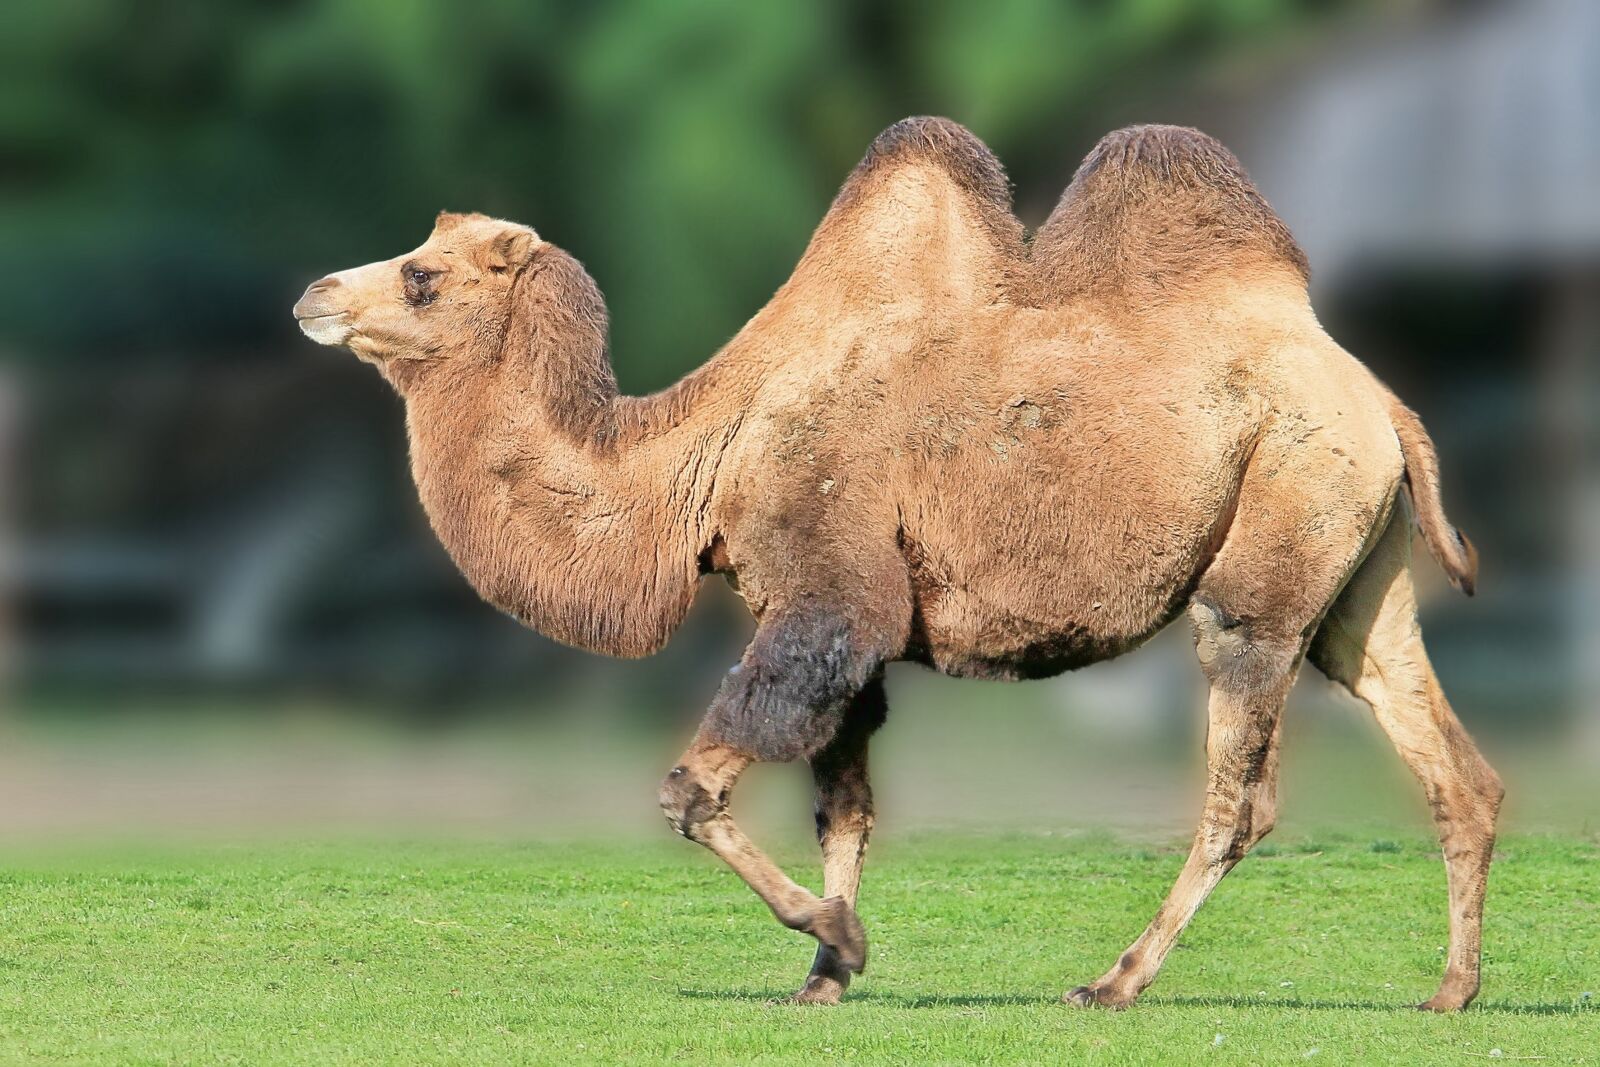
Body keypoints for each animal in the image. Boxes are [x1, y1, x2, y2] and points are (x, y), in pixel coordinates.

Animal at [293, 118, 1501, 1011]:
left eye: (421, 276)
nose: (312, 294)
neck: (704, 449)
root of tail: (1382, 398)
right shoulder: (840, 621)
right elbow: (845, 806)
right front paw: (824, 974)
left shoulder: (830, 592)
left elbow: (693, 787)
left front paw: (838, 935)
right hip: (1355, 566)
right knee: (1443, 753)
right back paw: (1450, 990)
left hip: (1276, 528)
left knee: (1239, 780)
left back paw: (1113, 981)